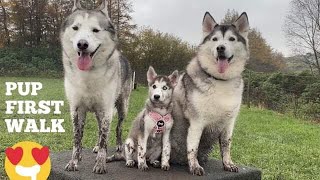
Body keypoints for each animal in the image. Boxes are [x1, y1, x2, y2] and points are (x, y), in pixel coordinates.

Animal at [60, 0, 132, 174]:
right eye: (75, 28)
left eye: (95, 30)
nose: (82, 44)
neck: (88, 73)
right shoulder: (76, 109)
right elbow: (77, 138)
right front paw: (74, 161)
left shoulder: (106, 109)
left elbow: (104, 140)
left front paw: (100, 164)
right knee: (98, 130)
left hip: (121, 107)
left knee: (118, 129)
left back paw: (118, 147)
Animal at [170, 11, 250, 175]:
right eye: (215, 39)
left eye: (231, 39)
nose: (220, 48)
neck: (220, 80)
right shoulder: (197, 122)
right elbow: (193, 147)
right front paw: (194, 166)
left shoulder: (229, 123)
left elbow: (226, 145)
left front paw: (228, 164)